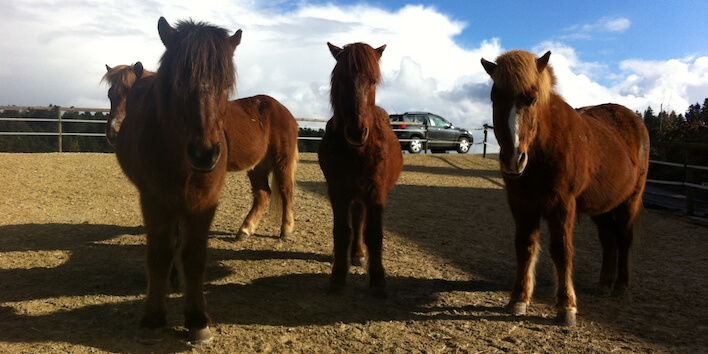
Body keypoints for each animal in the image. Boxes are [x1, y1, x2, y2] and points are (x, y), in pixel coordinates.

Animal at [102, 63, 296, 241]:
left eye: (136, 93)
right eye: (110, 95)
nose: (113, 133)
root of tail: (283, 110)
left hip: (282, 159)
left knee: (285, 190)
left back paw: (286, 230)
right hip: (257, 165)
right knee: (262, 194)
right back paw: (245, 230)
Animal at [114, 18, 241, 344]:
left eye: (225, 85)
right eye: (180, 82)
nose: (204, 153)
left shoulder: (204, 204)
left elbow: (194, 256)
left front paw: (197, 319)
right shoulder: (154, 201)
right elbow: (159, 255)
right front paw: (153, 319)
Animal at [318, 42, 402, 298]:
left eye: (373, 81)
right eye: (341, 80)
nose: (356, 132)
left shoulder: (376, 193)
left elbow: (373, 234)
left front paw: (377, 280)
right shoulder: (338, 192)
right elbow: (342, 231)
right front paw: (337, 276)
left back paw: (359, 254)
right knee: (355, 222)